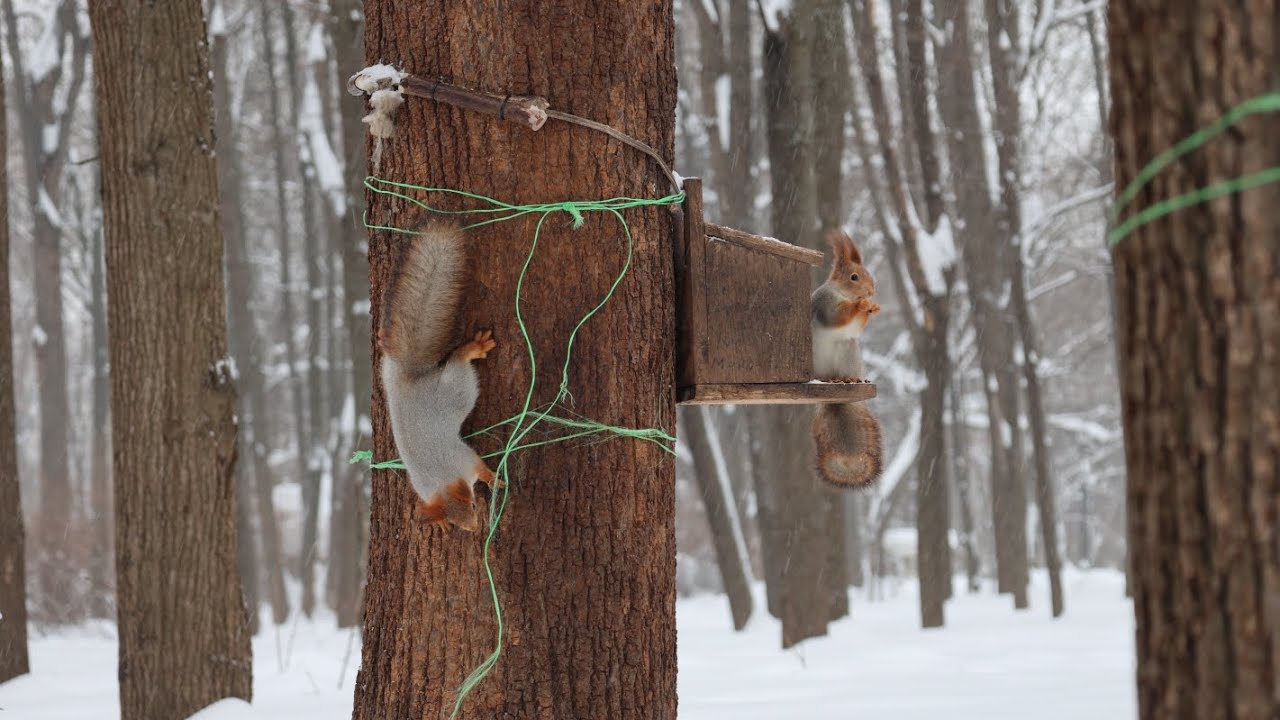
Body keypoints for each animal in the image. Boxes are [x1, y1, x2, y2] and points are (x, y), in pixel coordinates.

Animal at [379, 220, 500, 532]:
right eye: (456, 522)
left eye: (473, 504)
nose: (472, 529)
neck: (440, 480)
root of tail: (407, 379)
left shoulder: (464, 458)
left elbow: (480, 467)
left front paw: (494, 479)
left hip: (456, 388)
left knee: (457, 361)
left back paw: (472, 349)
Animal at [810, 230, 884, 488]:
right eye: (854, 277)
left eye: (870, 274)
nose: (871, 291)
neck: (842, 293)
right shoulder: (826, 303)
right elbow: (838, 315)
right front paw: (860, 305)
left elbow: (855, 327)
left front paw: (872, 308)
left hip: (848, 350)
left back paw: (848, 378)